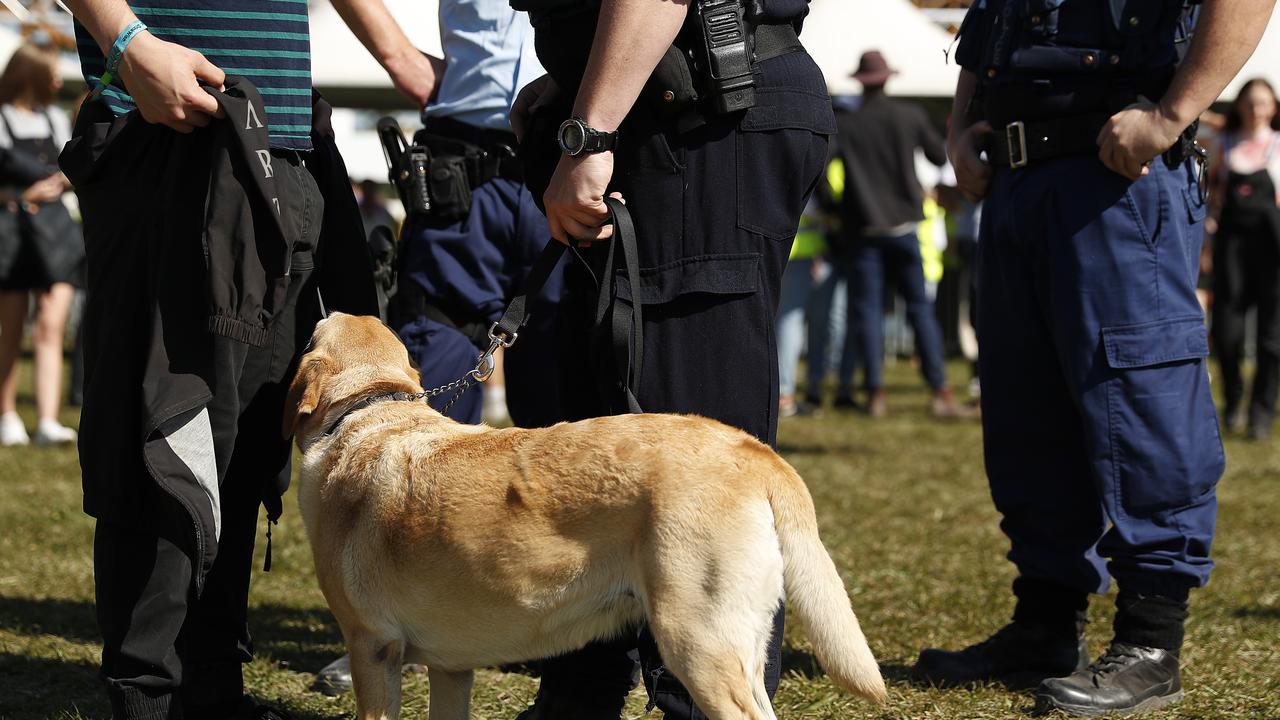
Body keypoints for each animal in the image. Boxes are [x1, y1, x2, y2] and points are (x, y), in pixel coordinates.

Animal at [285, 311, 885, 712]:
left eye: (311, 332)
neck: (368, 410)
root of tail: (752, 450)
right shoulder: (450, 667)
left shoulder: (372, 647)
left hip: (697, 643)